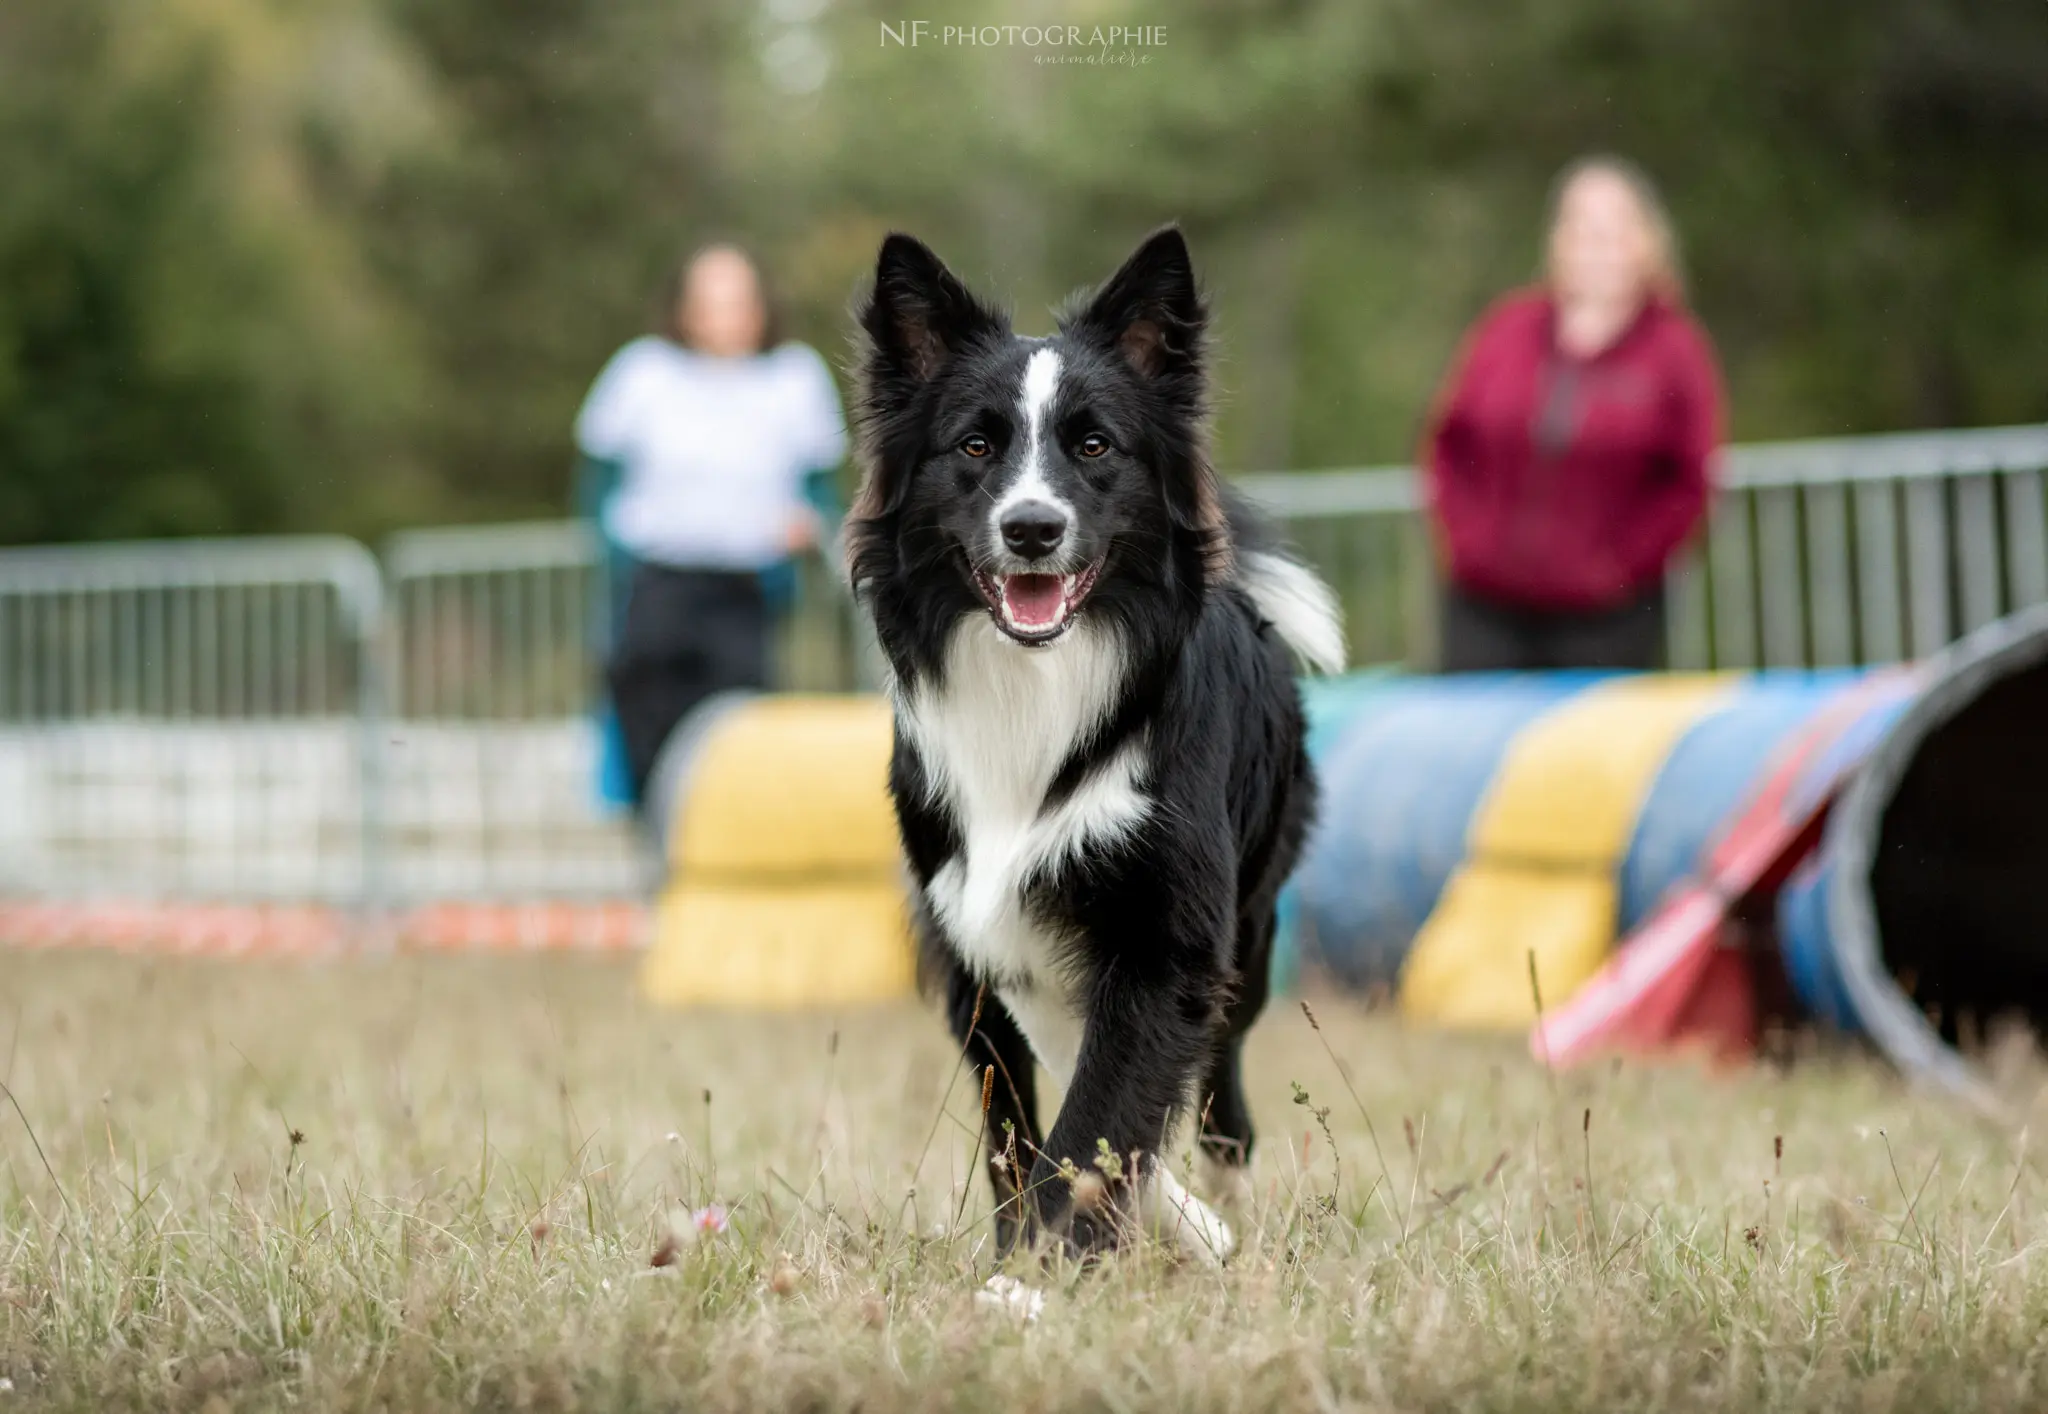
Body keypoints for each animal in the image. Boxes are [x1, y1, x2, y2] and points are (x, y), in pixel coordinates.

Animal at [847, 225, 1343, 1262]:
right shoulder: (974, 935)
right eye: (976, 444)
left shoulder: (1168, 935)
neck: (1036, 682)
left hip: (1252, 926)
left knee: (1224, 1088)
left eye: (1094, 445)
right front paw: (1036, 1252)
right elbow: (1029, 1124)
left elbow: (1102, 1110)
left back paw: (1223, 1198)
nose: (1032, 528)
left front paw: (1041, 1273)